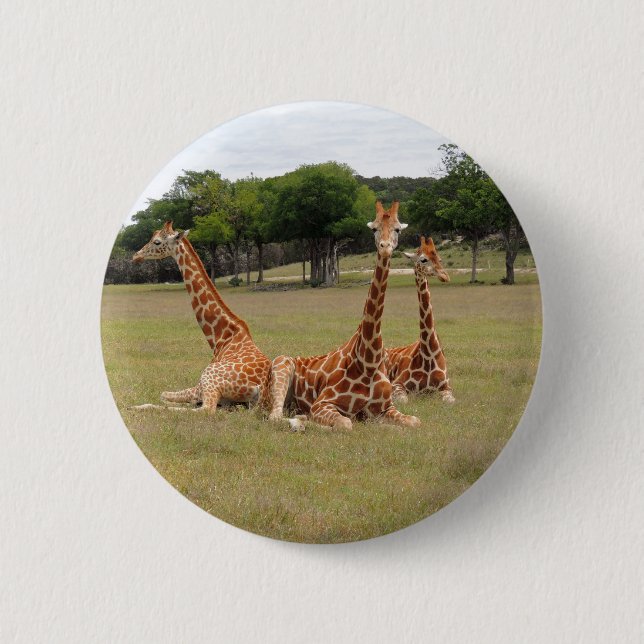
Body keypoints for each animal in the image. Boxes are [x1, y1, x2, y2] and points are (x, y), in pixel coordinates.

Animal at [131, 221, 271, 412]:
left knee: (205, 410)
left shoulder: (200, 386)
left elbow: (163, 395)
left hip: (209, 379)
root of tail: (260, 389)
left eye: (157, 241)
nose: (135, 256)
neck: (221, 338)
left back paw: (139, 406)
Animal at [268, 201, 421, 430]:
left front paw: (389, 427)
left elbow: (414, 421)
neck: (368, 361)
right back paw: (300, 421)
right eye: (374, 228)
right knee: (275, 417)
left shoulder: (385, 408)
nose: (385, 247)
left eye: (397, 229)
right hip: (282, 365)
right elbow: (346, 423)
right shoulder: (322, 403)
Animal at [385, 235, 455, 404]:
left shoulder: (447, 386)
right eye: (423, 260)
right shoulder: (397, 384)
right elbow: (403, 400)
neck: (429, 353)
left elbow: (449, 401)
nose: (445, 276)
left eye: (439, 259)